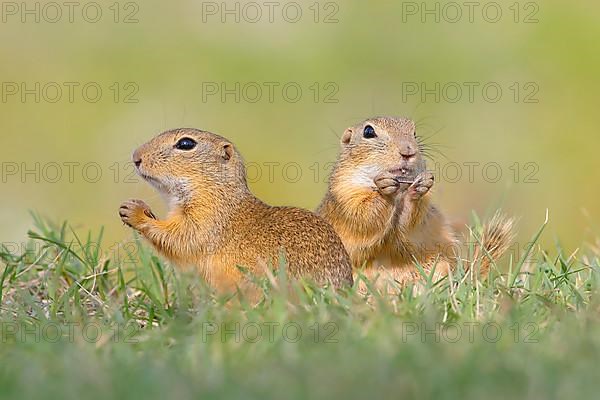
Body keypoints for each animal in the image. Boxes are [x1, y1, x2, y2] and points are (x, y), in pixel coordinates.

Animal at [119, 130, 354, 292]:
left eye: (186, 144)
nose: (136, 156)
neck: (215, 189)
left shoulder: (208, 219)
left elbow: (182, 238)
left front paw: (133, 211)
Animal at [316, 115, 512, 284]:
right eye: (368, 132)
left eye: (415, 133)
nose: (408, 150)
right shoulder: (345, 194)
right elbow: (363, 216)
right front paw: (385, 188)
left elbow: (411, 224)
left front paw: (419, 188)